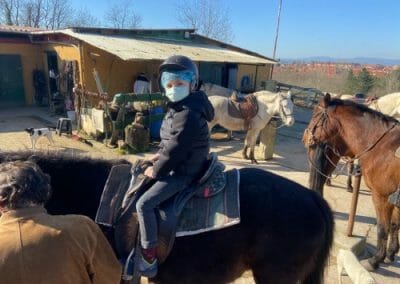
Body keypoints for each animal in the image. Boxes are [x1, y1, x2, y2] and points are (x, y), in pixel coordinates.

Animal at [304, 93, 400, 270]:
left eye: (315, 115)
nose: (305, 136)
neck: (384, 147)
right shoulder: (394, 198)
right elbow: (395, 224)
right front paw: (390, 253)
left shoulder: (382, 196)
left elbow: (382, 228)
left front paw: (375, 260)